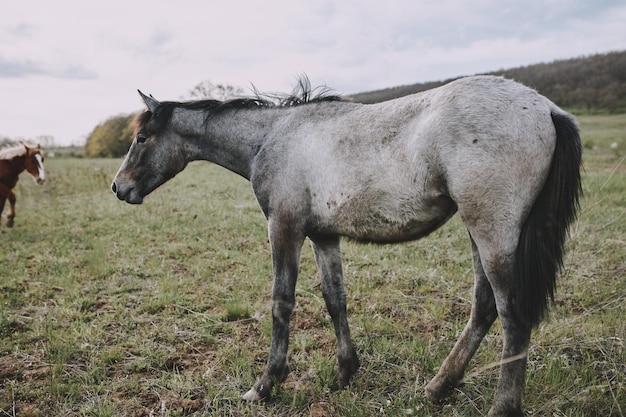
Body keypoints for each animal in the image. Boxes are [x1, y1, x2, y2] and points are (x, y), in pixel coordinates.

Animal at [111, 75, 580, 416]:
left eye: (142, 138)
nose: (119, 187)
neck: (274, 138)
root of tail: (546, 107)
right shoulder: (323, 235)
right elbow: (335, 299)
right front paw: (344, 372)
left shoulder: (284, 228)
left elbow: (282, 303)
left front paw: (266, 385)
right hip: (477, 232)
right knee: (484, 307)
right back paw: (437, 387)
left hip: (493, 234)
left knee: (512, 316)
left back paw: (501, 406)